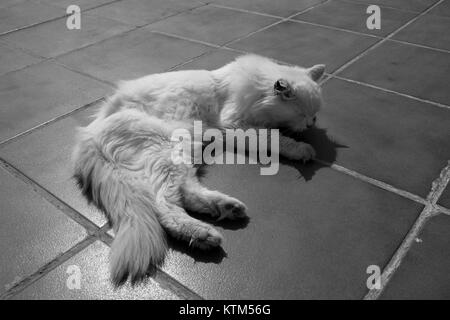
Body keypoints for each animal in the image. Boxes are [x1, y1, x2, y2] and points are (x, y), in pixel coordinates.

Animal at [73, 54, 324, 284]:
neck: (257, 86)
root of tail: (88, 135)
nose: (310, 123)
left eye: (314, 114)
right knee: (164, 206)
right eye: (302, 114)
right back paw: (203, 234)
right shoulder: (235, 124)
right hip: (167, 150)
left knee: (187, 194)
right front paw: (301, 148)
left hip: (182, 154)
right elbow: (274, 139)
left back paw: (227, 209)